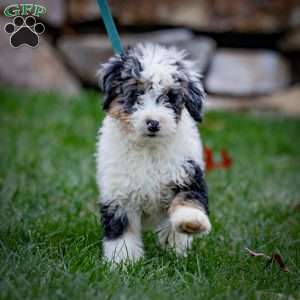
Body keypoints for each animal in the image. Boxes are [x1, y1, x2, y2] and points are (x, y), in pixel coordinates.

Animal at [96, 43, 211, 264]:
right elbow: (122, 231)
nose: (153, 123)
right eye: (136, 94)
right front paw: (123, 262)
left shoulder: (187, 172)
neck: (149, 148)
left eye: (170, 97)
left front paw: (191, 221)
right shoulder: (119, 194)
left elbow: (189, 197)